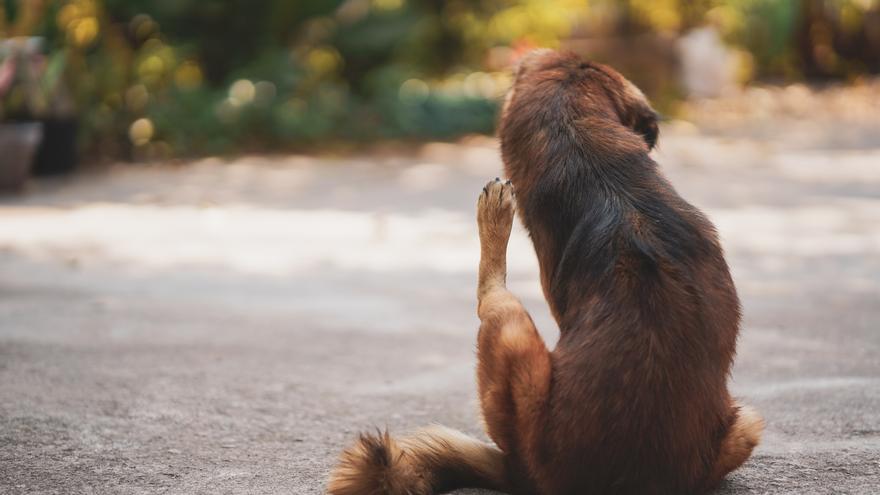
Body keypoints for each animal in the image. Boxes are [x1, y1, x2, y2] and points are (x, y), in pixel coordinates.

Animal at [326, 50, 760, 495]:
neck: (597, 165)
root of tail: (523, 474)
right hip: (745, 425)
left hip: (512, 334)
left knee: (489, 295)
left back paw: (494, 216)